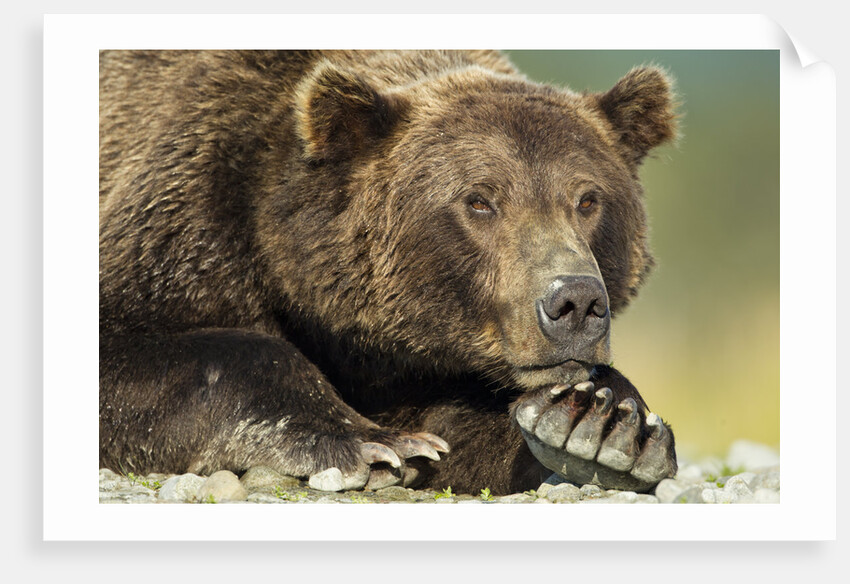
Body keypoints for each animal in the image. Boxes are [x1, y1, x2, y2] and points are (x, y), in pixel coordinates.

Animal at [99, 50, 678, 495]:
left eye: (587, 199)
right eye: (479, 200)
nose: (574, 302)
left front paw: (602, 422)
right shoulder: (187, 221)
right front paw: (375, 443)